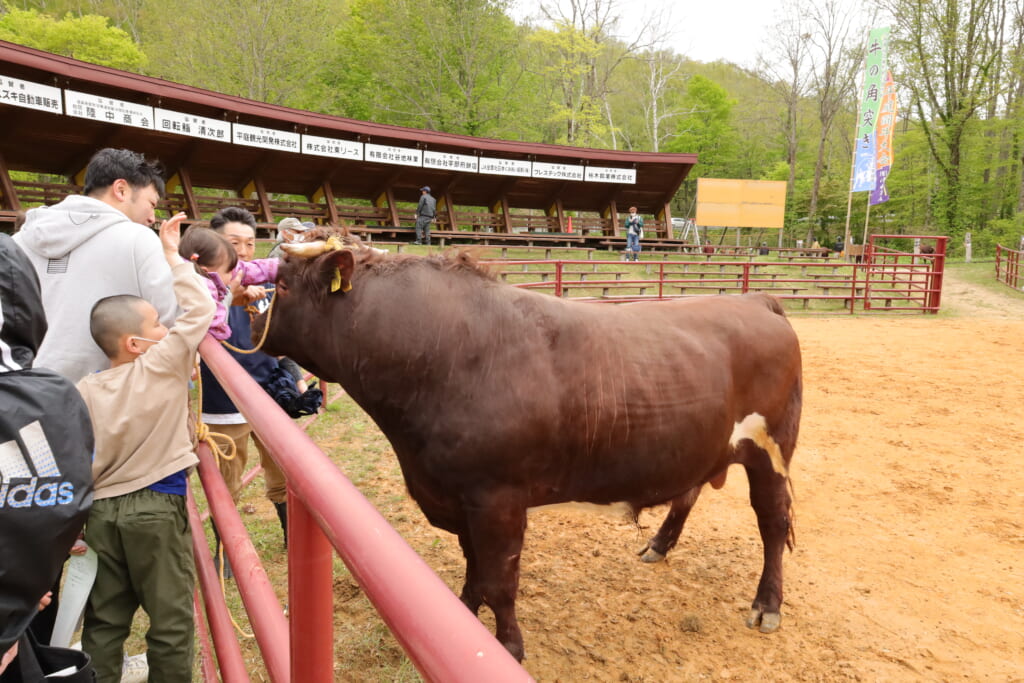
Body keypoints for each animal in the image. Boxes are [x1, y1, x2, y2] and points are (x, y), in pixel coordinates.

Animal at [256, 232, 798, 659]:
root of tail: (753, 301)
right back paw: (658, 546)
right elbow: (475, 571)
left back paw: (767, 604)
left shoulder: (497, 500)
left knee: (773, 523)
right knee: (688, 491)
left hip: (771, 452)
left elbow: (499, 580)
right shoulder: (459, 498)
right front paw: (461, 618)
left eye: (280, 286)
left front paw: (507, 647)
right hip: (702, 445)